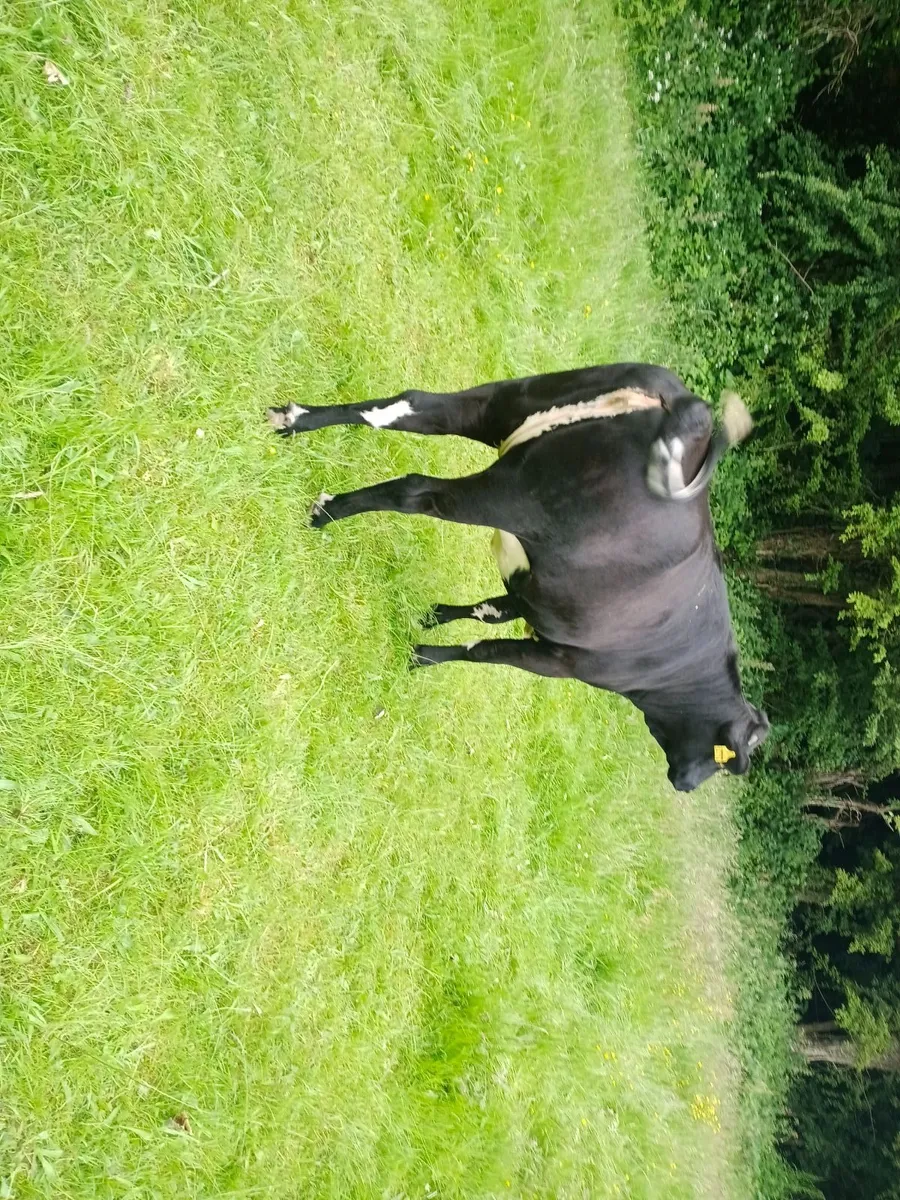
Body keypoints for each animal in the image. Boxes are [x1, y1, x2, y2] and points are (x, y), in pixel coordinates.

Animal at [267, 362, 770, 792]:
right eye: (728, 763)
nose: (684, 784)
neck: (681, 667)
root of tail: (694, 412)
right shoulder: (560, 661)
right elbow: (484, 651)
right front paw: (422, 655)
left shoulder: (534, 595)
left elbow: (487, 612)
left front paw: (430, 618)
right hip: (510, 494)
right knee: (417, 491)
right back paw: (326, 511)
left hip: (504, 401)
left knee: (405, 406)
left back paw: (292, 419)